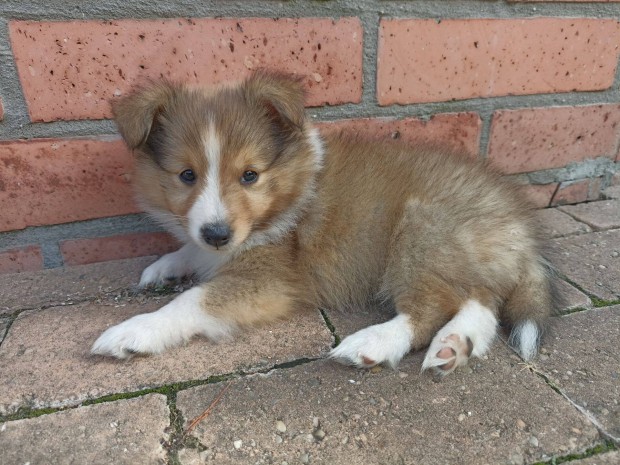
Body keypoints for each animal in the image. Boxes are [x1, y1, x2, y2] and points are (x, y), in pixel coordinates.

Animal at [92, 70, 556, 374]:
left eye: (249, 175)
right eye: (186, 175)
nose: (218, 234)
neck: (288, 190)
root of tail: (521, 224)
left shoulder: (268, 279)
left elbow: (192, 301)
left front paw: (134, 331)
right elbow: (190, 248)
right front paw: (163, 267)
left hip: (423, 232)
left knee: (433, 307)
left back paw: (374, 343)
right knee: (480, 301)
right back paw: (455, 345)